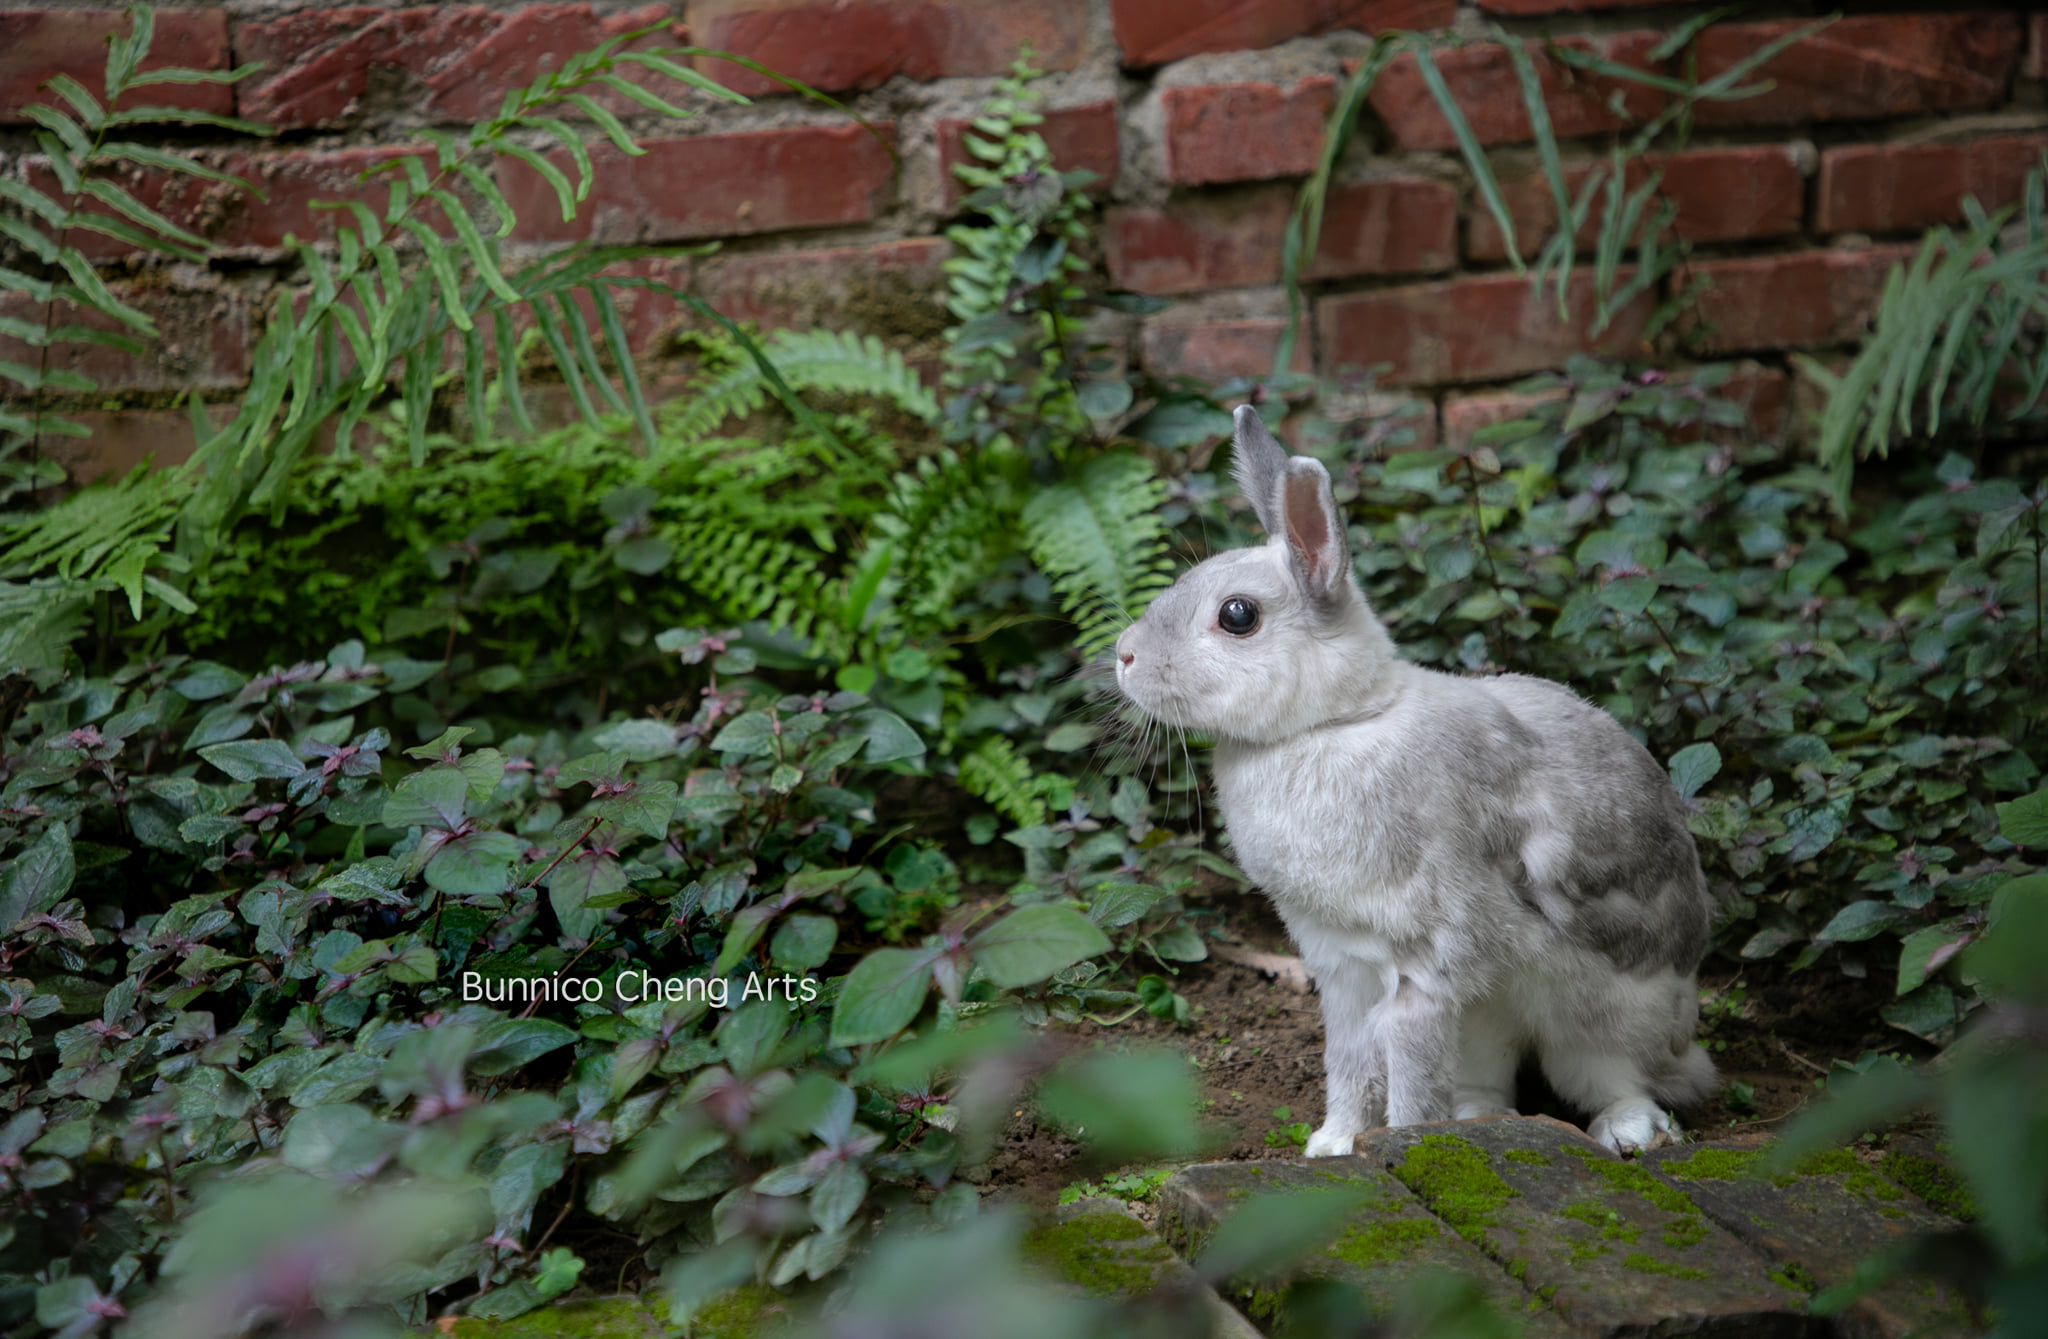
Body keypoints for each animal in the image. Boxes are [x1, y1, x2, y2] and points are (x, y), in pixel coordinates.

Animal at [1111, 405, 1716, 1157]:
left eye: (1237, 615)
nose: (1123, 655)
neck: (1333, 723)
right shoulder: (1340, 967)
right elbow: (1348, 1062)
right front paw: (1332, 1146)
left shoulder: (1423, 967)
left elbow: (1406, 1067)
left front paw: (1399, 1146)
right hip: (1487, 1021)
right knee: (1489, 1078)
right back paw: (1480, 1122)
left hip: (1600, 1017)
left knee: (1615, 1075)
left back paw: (1630, 1130)